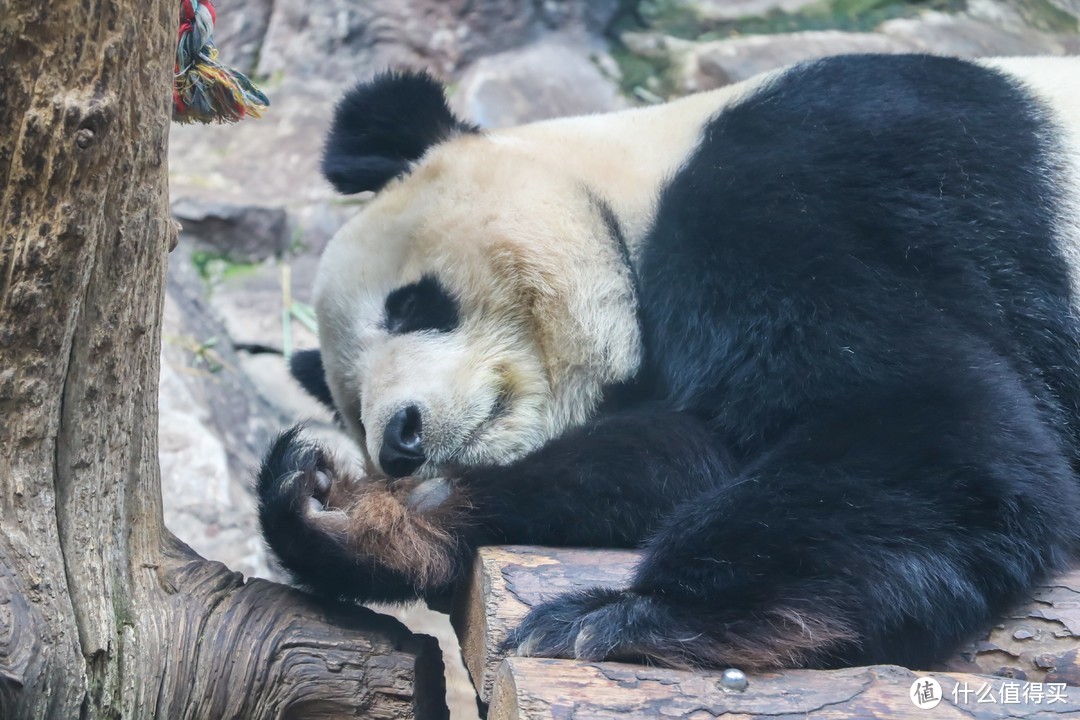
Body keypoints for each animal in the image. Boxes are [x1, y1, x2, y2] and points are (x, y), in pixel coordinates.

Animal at [257, 55, 1080, 669]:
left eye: (411, 305)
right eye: (350, 403)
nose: (399, 439)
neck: (636, 173)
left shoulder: (808, 185)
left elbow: (925, 419)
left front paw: (619, 617)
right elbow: (686, 457)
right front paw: (356, 514)